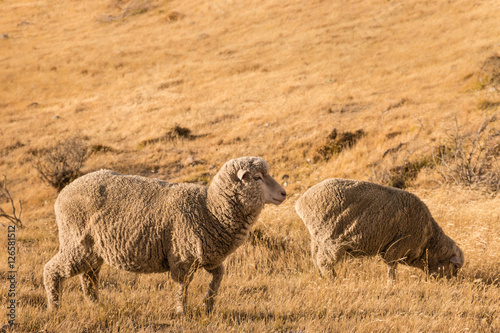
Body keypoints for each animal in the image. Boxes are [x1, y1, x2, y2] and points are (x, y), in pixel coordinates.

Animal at [45, 156, 288, 312]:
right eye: (257, 178)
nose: (284, 193)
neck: (210, 209)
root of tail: (64, 191)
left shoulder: (207, 256)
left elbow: (219, 275)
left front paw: (208, 304)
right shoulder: (182, 257)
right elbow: (183, 287)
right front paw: (183, 311)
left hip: (93, 251)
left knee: (89, 278)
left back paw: (96, 306)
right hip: (77, 244)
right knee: (51, 270)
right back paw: (54, 308)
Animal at [296, 178, 464, 278]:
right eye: (455, 268)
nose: (451, 283)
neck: (429, 239)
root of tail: (301, 201)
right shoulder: (397, 247)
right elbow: (392, 268)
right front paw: (391, 285)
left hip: (317, 237)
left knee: (315, 258)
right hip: (330, 238)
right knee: (324, 262)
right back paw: (333, 279)